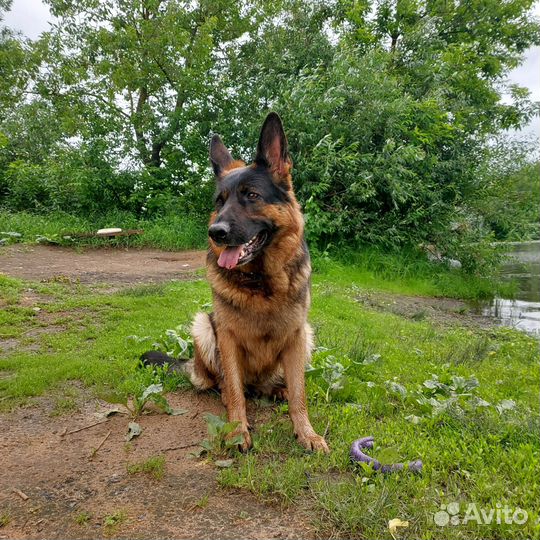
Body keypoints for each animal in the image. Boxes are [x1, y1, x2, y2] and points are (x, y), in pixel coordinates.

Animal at [186, 114, 330, 452]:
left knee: (272, 386)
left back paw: (277, 390)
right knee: (226, 385)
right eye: (220, 202)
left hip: (307, 336)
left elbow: (300, 394)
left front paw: (306, 432)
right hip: (203, 326)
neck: (262, 282)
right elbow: (234, 388)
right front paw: (237, 430)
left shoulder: (296, 336)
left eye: (251, 196)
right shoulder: (226, 338)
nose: (216, 232)